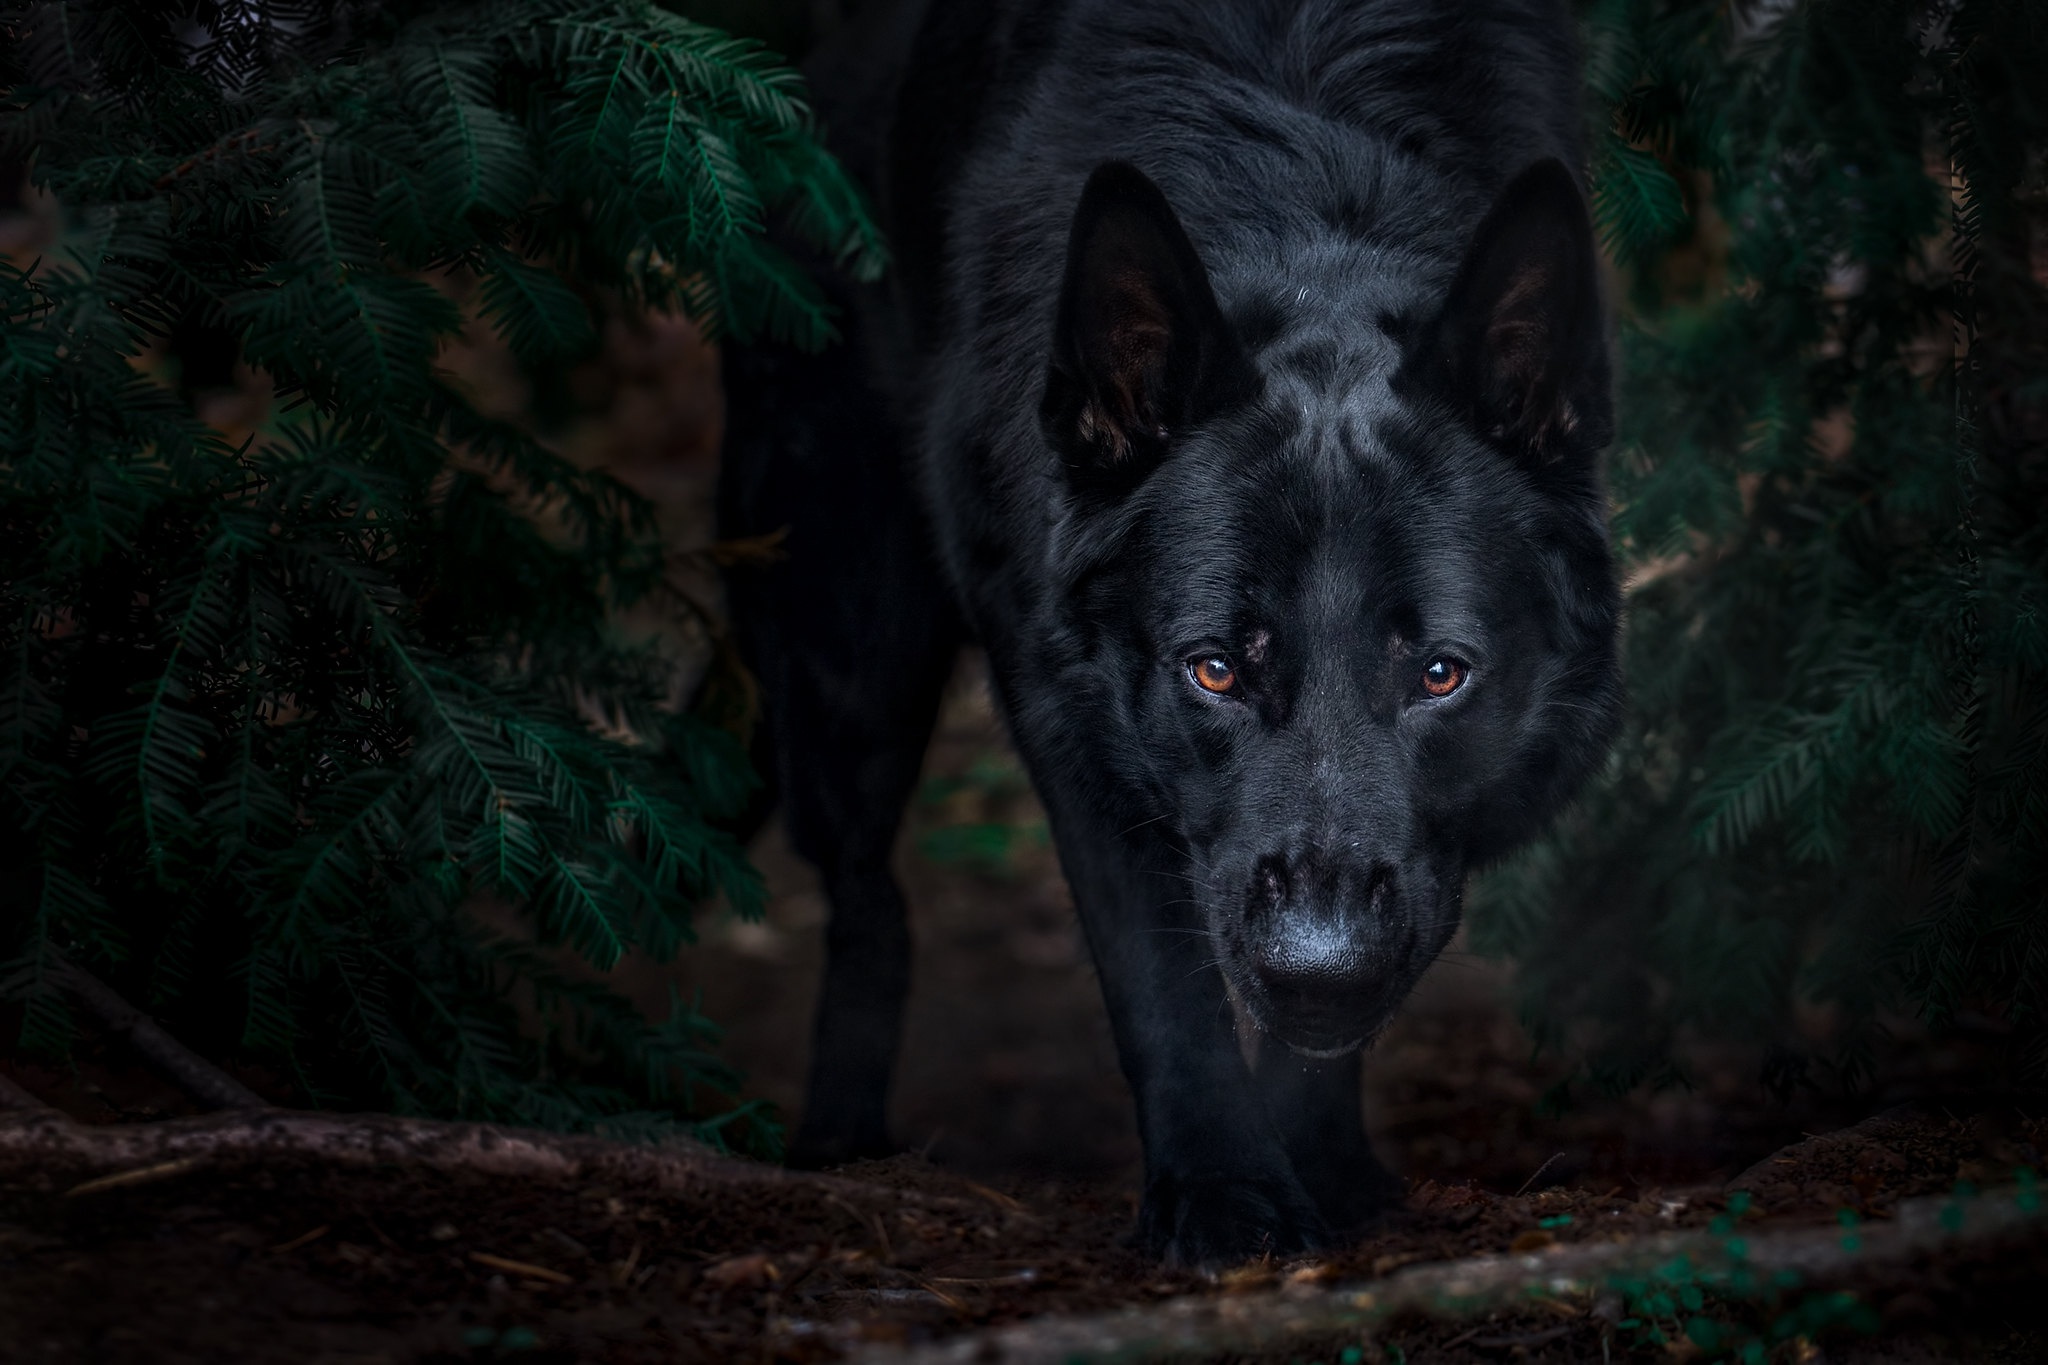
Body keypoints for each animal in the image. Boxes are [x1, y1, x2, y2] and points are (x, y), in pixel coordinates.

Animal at [716, 0, 1613, 1268]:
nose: (1318, 970)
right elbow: (1160, 982)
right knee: (864, 900)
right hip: (855, 655)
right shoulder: (1069, 714)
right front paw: (1223, 1195)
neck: (1304, 177)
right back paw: (841, 1147)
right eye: (1215, 670)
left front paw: (1319, 1169)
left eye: (1440, 675)